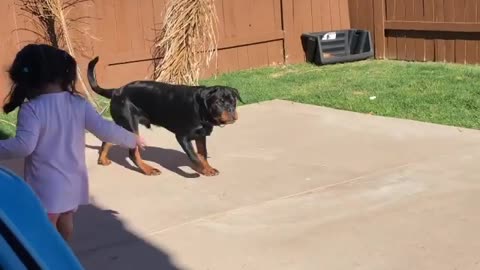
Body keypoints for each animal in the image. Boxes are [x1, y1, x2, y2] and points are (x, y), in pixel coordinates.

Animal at [86, 56, 242, 176]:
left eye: (233, 101)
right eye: (219, 102)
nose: (231, 110)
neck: (201, 109)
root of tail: (116, 91)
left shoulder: (200, 135)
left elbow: (202, 154)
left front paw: (208, 168)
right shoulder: (182, 136)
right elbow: (194, 156)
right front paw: (202, 170)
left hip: (123, 123)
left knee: (108, 139)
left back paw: (102, 159)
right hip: (131, 125)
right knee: (133, 153)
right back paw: (148, 169)